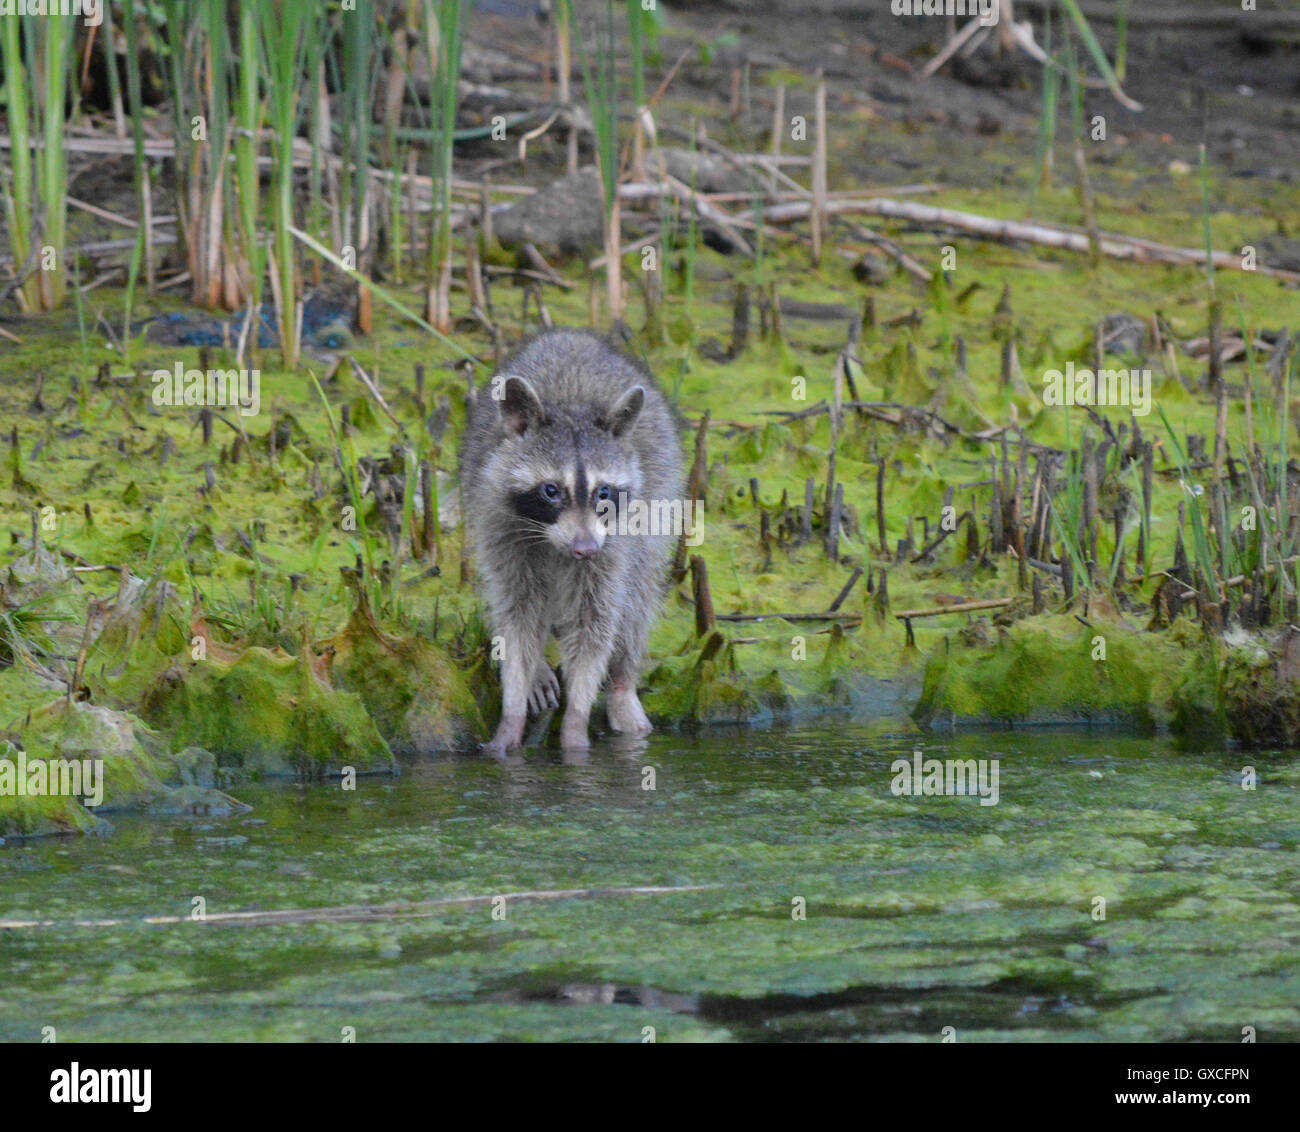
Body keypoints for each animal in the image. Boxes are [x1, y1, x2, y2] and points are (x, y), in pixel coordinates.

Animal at [460, 329, 685, 753]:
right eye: (550, 491)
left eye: (603, 493)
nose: (585, 549)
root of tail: (573, 335)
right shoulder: (501, 522)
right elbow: (518, 615)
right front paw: (513, 706)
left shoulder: (615, 540)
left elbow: (595, 621)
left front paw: (576, 723)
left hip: (658, 503)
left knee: (638, 596)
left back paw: (622, 682)